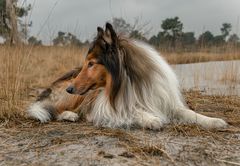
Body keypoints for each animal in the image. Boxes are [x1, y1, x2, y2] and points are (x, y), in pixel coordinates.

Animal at [27, 22, 228, 130]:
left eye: (91, 64)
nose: (70, 89)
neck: (128, 81)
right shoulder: (106, 107)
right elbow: (133, 111)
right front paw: (151, 119)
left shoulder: (164, 101)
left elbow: (190, 113)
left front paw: (214, 121)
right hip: (76, 98)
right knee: (54, 110)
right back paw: (69, 115)